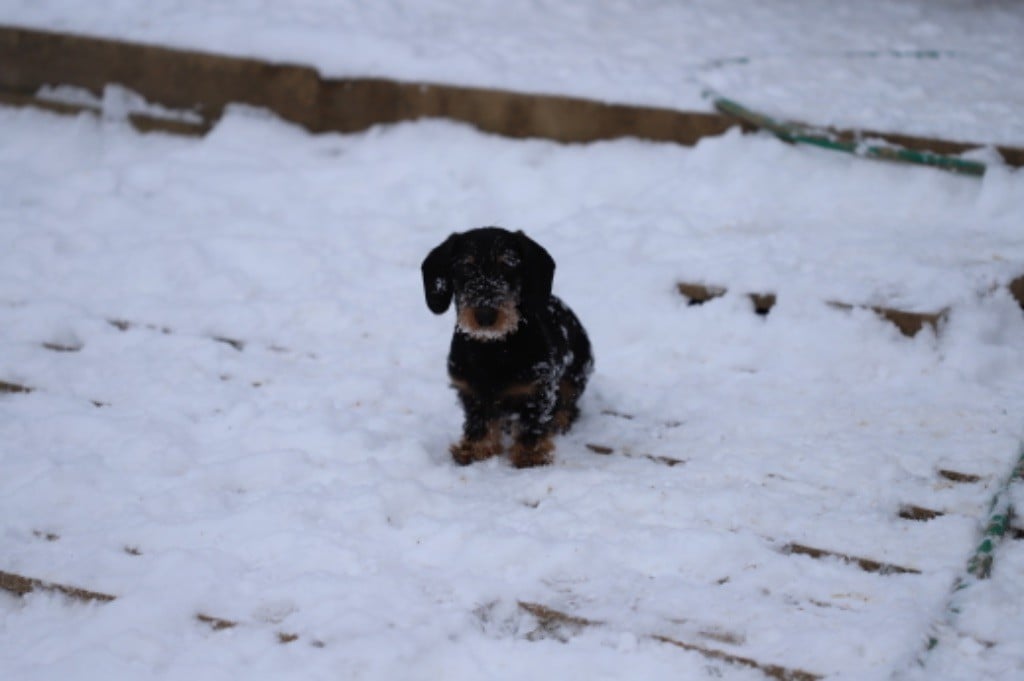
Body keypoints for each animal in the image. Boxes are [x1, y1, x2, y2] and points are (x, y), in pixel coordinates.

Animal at [419, 225, 593, 464]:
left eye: (508, 264)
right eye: (466, 266)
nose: (485, 316)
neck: (493, 348)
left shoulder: (537, 390)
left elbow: (532, 424)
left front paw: (531, 455)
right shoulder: (471, 392)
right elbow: (479, 422)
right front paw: (474, 449)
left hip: (575, 373)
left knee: (567, 403)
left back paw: (559, 422)